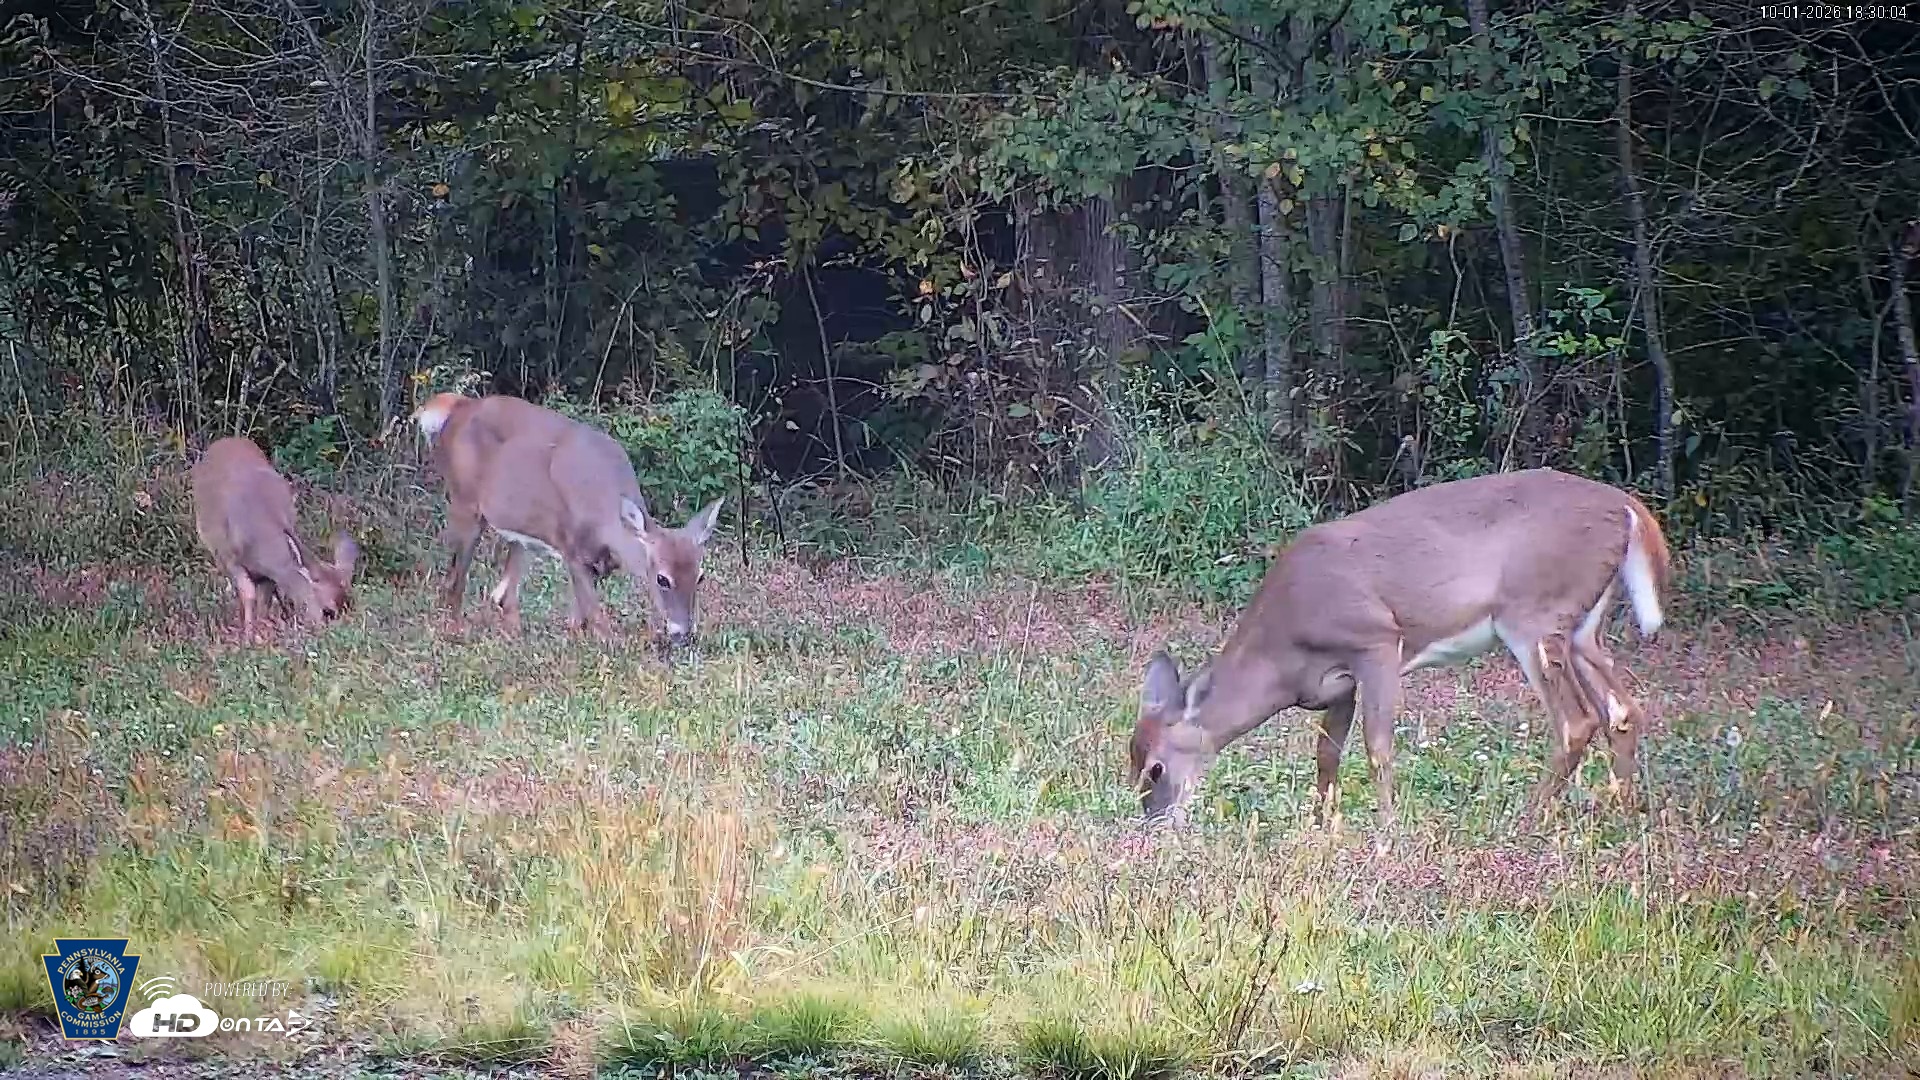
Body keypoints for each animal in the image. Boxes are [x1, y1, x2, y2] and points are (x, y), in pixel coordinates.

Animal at [190, 436, 360, 642]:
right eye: (328, 611)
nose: (335, 634)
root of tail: (226, 439)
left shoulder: (270, 574)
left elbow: (265, 599)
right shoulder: (230, 559)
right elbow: (248, 594)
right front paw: (248, 637)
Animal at [410, 392, 724, 645]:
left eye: (700, 576)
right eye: (662, 578)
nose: (682, 633)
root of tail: (455, 409)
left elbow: (579, 619)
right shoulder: (571, 548)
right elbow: (597, 620)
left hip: (520, 528)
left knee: (502, 594)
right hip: (464, 501)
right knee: (454, 581)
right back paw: (456, 632)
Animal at [1128, 468, 1671, 836]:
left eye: (1156, 768)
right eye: (1131, 762)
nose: (1153, 823)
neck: (1285, 654)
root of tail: (1628, 509)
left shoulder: (1376, 641)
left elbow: (1378, 747)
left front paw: (1385, 832)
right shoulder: (1337, 684)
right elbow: (1326, 752)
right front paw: (1320, 826)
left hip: (1534, 613)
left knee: (1576, 720)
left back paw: (1527, 819)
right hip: (1581, 627)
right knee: (1622, 711)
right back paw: (1622, 815)